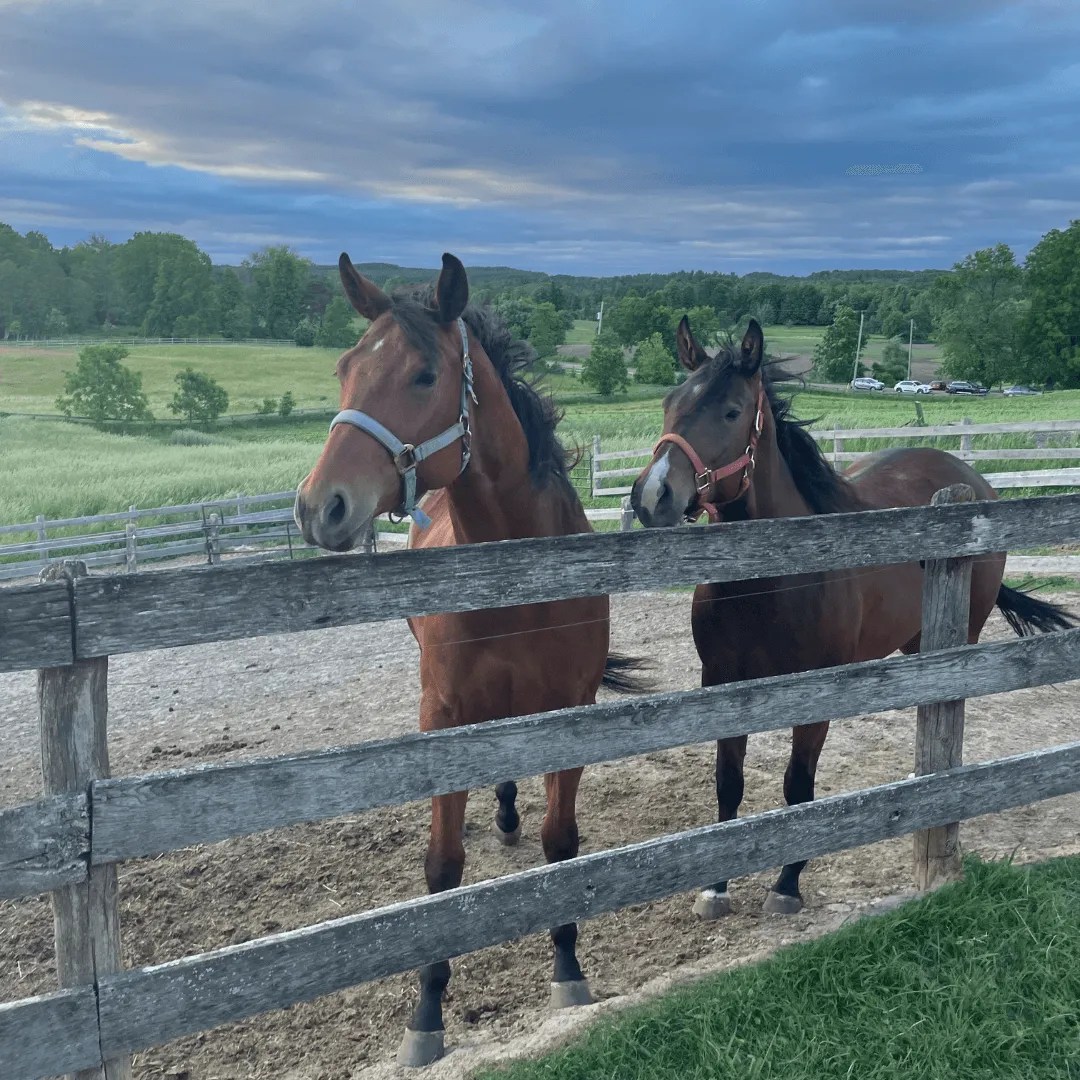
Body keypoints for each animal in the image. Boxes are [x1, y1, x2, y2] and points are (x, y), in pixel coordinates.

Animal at [294, 251, 650, 1067]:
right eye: (345, 368)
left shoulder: (570, 710)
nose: (319, 506)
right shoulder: (443, 719)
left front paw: (567, 969)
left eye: (424, 375)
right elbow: (442, 867)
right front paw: (426, 1014)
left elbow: (561, 844)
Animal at [630, 316, 1076, 919]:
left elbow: (798, 787)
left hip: (959, 635)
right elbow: (728, 783)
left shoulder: (817, 691)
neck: (771, 580)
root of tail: (972, 481)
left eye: (731, 411)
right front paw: (715, 888)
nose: (652, 496)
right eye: (669, 403)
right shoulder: (719, 683)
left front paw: (787, 883)